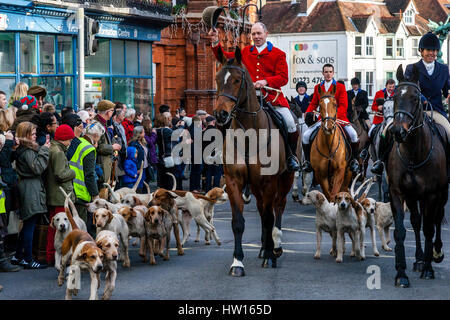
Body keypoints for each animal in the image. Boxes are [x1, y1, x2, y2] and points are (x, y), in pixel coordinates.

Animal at [214, 46, 296, 276]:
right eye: (217, 79)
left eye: (236, 80)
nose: (220, 114)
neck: (249, 135)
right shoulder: (234, 181)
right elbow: (238, 223)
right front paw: (237, 262)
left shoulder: (269, 182)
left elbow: (269, 218)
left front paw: (270, 255)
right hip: (257, 188)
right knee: (261, 209)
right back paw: (263, 246)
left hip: (284, 180)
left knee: (278, 207)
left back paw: (275, 247)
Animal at [386, 65, 446, 288]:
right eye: (394, 97)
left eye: (415, 98)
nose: (397, 131)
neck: (413, 152)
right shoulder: (397, 193)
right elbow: (401, 231)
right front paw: (401, 272)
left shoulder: (431, 195)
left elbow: (429, 228)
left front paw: (429, 268)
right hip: (412, 197)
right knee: (416, 221)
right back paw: (419, 258)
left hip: (441, 194)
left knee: (436, 219)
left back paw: (435, 253)